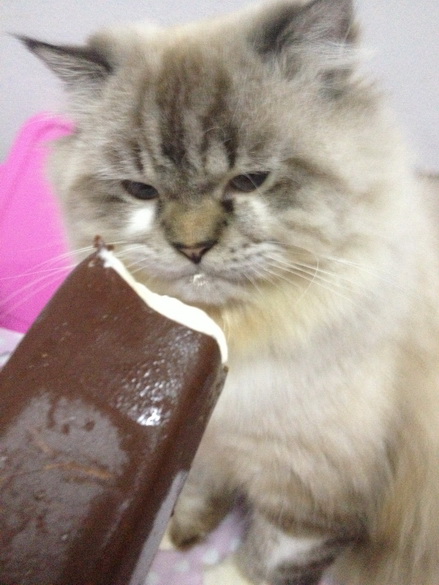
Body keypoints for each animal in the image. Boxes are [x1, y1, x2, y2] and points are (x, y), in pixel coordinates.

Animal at [21, 0, 439, 583]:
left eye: (248, 181)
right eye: (141, 191)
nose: (192, 247)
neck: (238, 332)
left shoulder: (312, 495)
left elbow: (265, 557)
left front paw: (215, 571)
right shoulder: (204, 443)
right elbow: (196, 493)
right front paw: (176, 534)